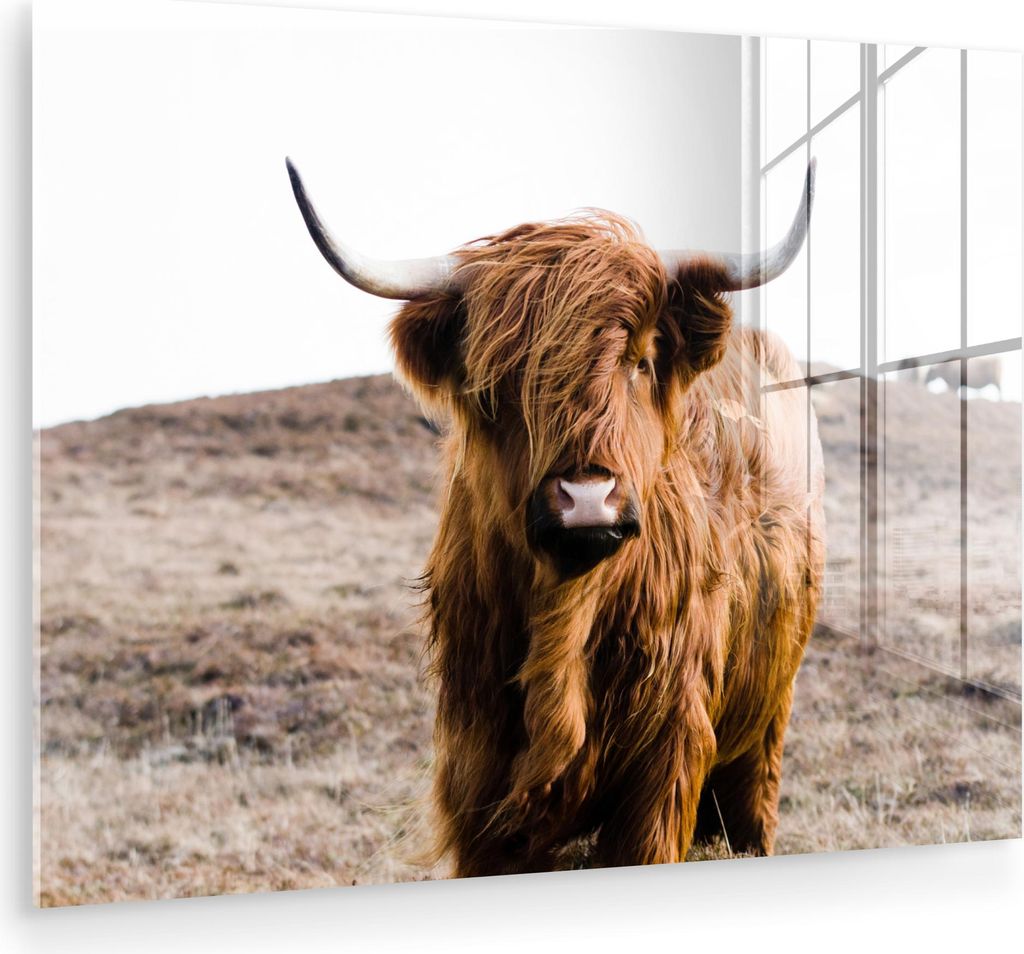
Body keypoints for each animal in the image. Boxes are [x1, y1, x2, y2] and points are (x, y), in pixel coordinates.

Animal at [286, 157, 825, 876]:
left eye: (640, 361)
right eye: (498, 381)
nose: (586, 497)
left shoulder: (665, 762)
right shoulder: (477, 771)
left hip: (768, 718)